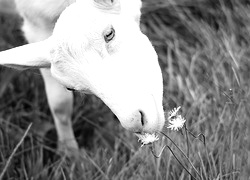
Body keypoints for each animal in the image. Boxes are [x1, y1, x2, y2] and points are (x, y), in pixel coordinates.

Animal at [0, 0, 165, 153]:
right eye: (70, 88)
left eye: (109, 34)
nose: (136, 123)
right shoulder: (35, 25)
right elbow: (59, 105)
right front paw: (69, 151)